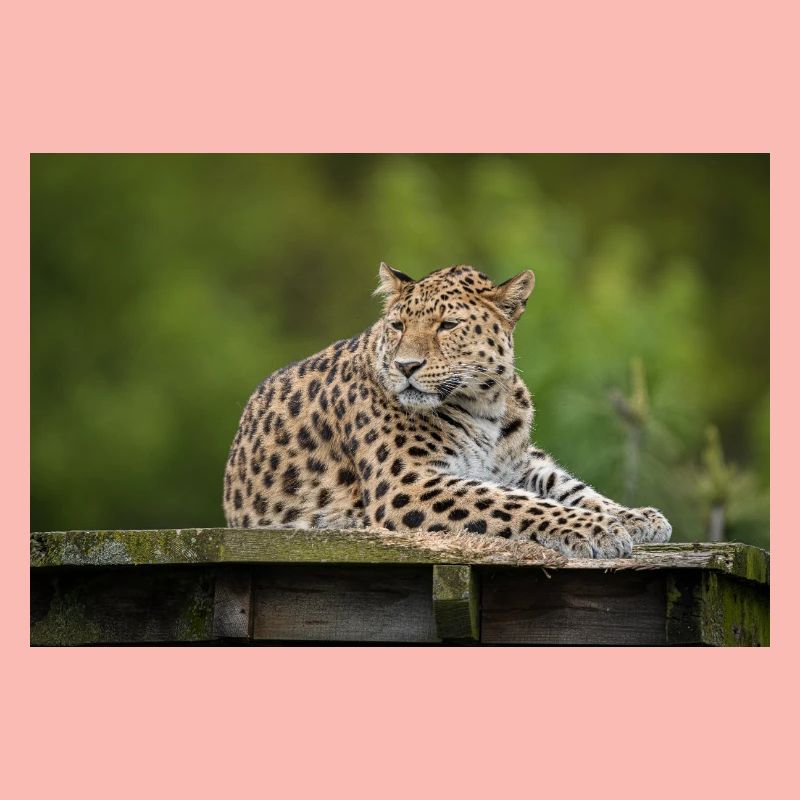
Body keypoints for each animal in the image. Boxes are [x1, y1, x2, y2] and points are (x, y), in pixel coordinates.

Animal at [223, 263, 672, 559]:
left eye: (448, 325)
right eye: (398, 326)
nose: (406, 366)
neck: (488, 404)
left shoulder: (517, 462)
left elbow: (567, 487)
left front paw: (635, 517)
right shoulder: (407, 483)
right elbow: (515, 503)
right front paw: (599, 529)